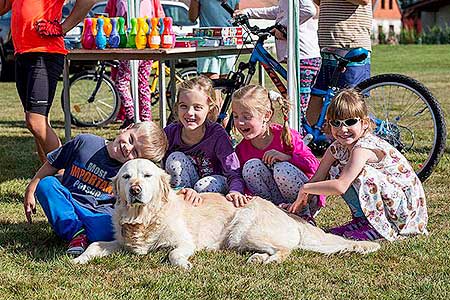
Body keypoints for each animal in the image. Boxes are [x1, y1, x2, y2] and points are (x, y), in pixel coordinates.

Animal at [73, 158, 380, 268]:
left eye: (146, 176)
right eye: (126, 177)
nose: (135, 190)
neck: (144, 217)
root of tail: (290, 216)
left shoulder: (184, 241)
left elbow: (173, 254)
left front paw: (183, 265)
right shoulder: (122, 242)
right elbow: (95, 244)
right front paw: (79, 259)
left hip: (245, 230)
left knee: (286, 251)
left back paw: (265, 260)